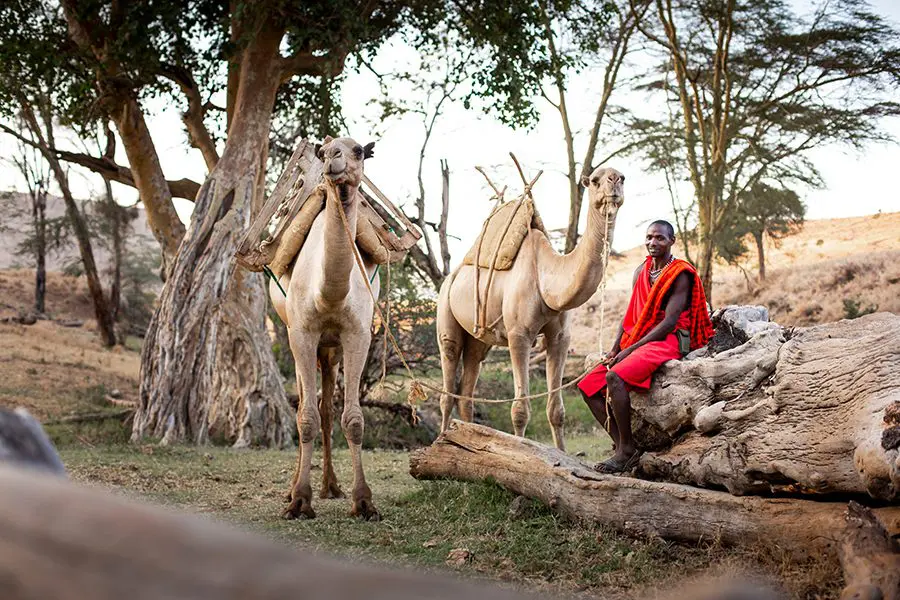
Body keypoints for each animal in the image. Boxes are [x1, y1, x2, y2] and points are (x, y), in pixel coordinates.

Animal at [268, 136, 380, 520]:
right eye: (320, 152)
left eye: (359, 150)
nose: (333, 158)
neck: (329, 293)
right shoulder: (302, 333)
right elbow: (305, 418)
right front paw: (300, 501)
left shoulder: (358, 334)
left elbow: (354, 420)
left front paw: (363, 502)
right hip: (297, 338)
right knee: (306, 404)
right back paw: (292, 490)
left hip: (330, 349)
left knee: (328, 408)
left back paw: (331, 486)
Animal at [438, 165, 624, 450]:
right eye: (595, 180)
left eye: (622, 177)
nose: (613, 181)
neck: (547, 276)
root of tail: (451, 277)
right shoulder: (519, 334)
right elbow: (520, 410)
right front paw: (519, 451)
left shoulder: (560, 337)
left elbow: (556, 410)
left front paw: (561, 454)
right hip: (445, 312)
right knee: (447, 383)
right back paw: (440, 442)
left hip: (478, 340)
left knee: (467, 389)